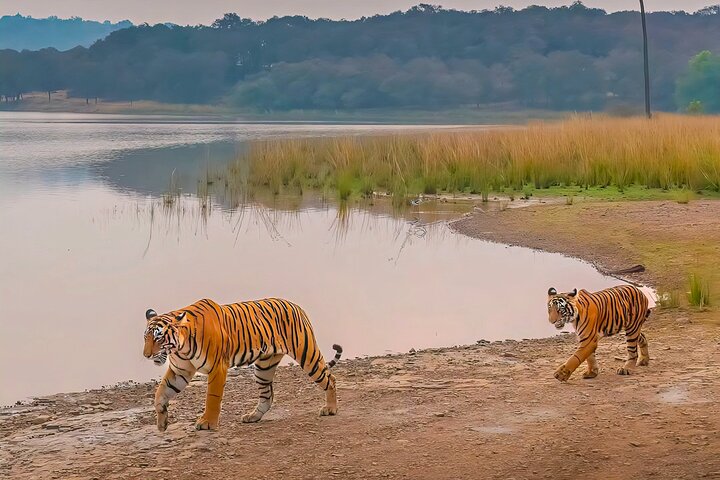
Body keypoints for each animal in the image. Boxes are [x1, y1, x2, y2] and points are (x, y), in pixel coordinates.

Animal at [143, 297, 343, 431]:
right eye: (146, 337)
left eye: (159, 338)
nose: (146, 355)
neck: (180, 347)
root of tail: (295, 305)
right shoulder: (180, 371)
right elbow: (160, 393)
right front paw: (162, 422)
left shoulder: (217, 368)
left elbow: (212, 398)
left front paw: (207, 423)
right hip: (264, 367)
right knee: (267, 396)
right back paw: (253, 416)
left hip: (307, 356)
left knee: (330, 379)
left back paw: (330, 409)